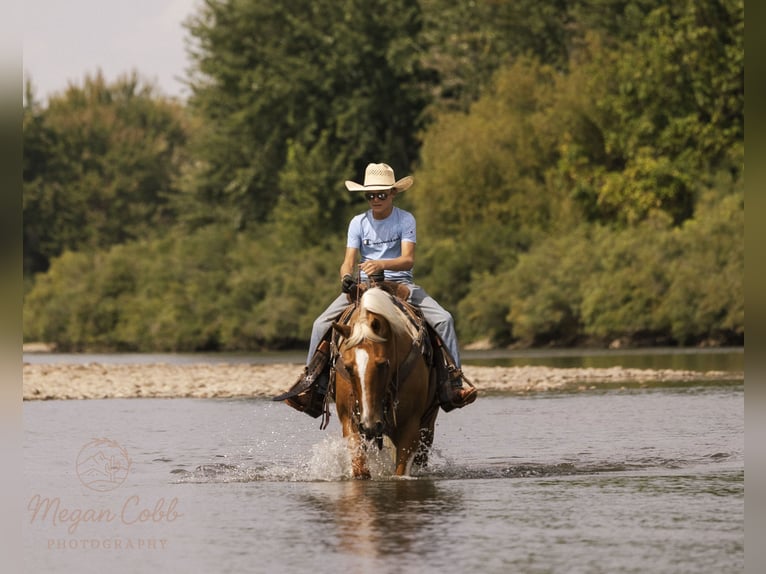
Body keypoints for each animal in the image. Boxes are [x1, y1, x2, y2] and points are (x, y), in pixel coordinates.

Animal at [331, 286, 439, 478]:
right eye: (348, 368)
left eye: (383, 364)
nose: (370, 425)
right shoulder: (350, 422)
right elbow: (359, 469)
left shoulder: (410, 428)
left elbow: (401, 472)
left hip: (428, 425)